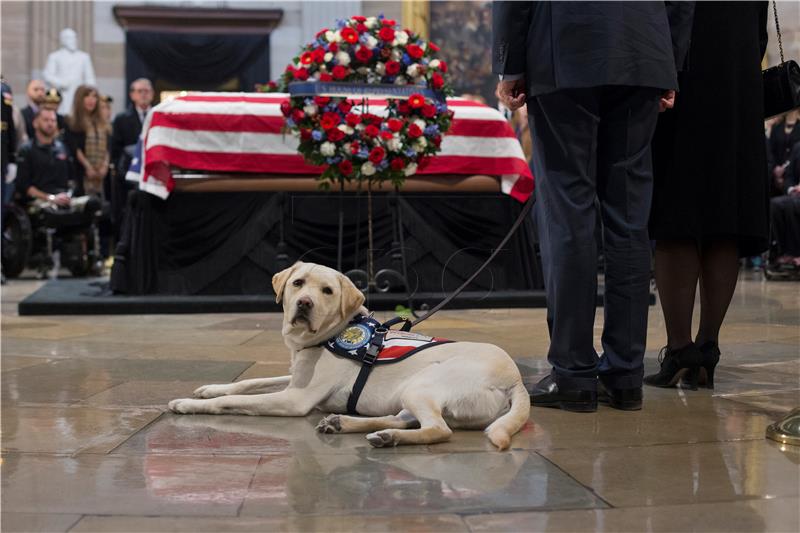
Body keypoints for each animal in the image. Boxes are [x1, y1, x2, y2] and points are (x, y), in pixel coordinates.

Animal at [167, 262, 532, 448]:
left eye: (327, 291)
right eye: (298, 283)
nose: (305, 303)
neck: (325, 336)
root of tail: (516, 380)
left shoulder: (296, 398)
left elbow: (235, 401)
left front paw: (188, 404)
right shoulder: (295, 377)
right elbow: (250, 382)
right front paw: (210, 388)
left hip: (423, 384)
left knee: (438, 430)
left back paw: (386, 437)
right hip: (410, 392)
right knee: (404, 417)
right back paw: (348, 424)